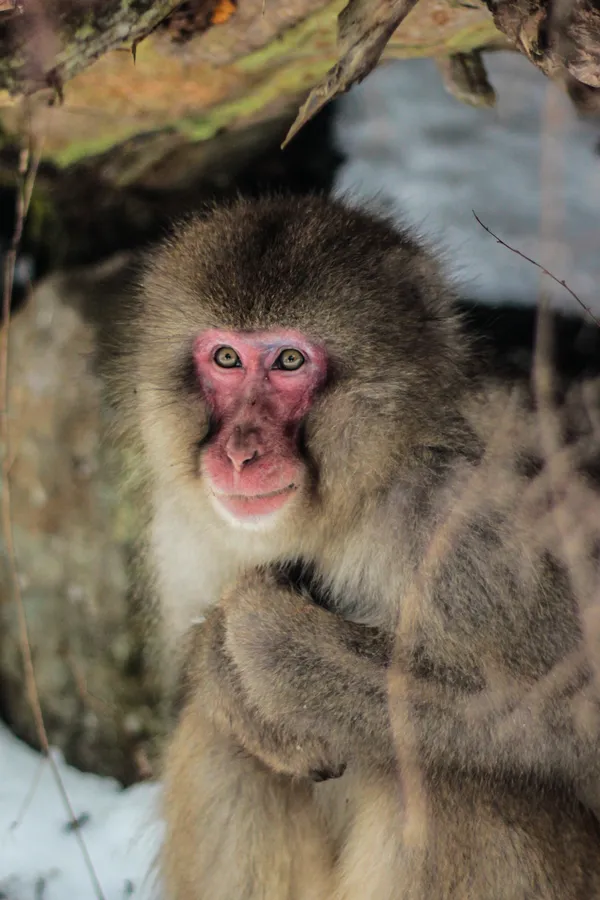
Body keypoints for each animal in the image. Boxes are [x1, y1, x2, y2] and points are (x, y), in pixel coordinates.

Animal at [108, 197, 600, 900]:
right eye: (226, 358)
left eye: (289, 362)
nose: (238, 452)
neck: (358, 495)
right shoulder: (181, 526)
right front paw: (215, 662)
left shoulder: (480, 526)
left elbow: (578, 719)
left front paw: (274, 648)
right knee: (227, 743)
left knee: (450, 784)